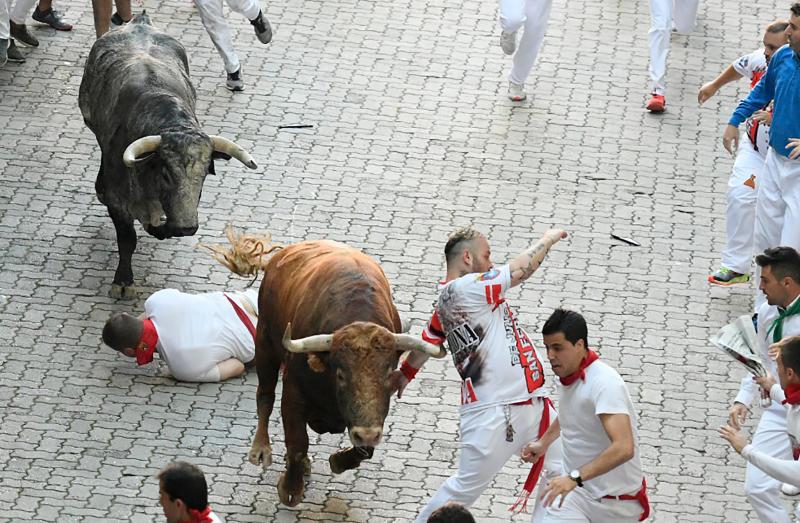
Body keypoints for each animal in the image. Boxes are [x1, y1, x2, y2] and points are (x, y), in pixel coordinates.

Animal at [242, 242, 444, 508]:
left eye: (389, 373)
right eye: (340, 375)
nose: (367, 433)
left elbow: (365, 450)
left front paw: (338, 461)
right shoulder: (293, 392)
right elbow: (297, 442)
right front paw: (290, 489)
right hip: (264, 342)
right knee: (264, 396)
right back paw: (261, 449)